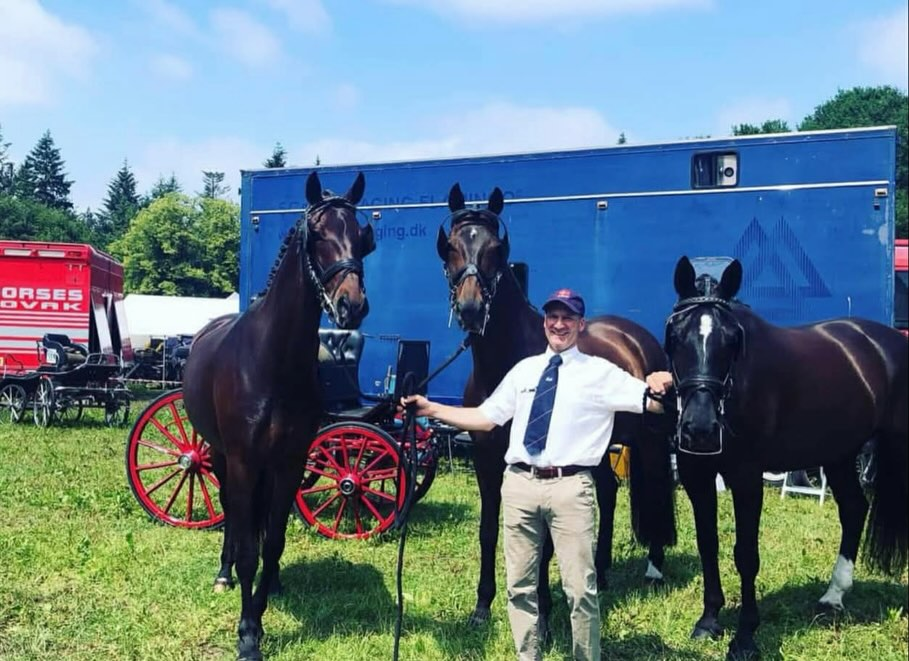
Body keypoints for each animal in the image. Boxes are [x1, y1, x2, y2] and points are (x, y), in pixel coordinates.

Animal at [182, 171, 375, 660]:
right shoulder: (244, 460)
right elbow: (250, 547)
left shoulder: (290, 461)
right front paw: (248, 631)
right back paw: (224, 572)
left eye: (362, 236)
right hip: (220, 454)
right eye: (318, 235)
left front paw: (264, 606)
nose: (352, 305)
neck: (273, 361)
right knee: (232, 512)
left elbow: (274, 541)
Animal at [665, 255, 908, 660]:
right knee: (854, 508)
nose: (700, 428)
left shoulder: (747, 479)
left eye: (732, 340)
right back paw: (833, 596)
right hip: (839, 454)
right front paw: (708, 621)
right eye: (676, 337)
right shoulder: (696, 474)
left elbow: (746, 554)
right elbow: (707, 544)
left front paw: (745, 637)